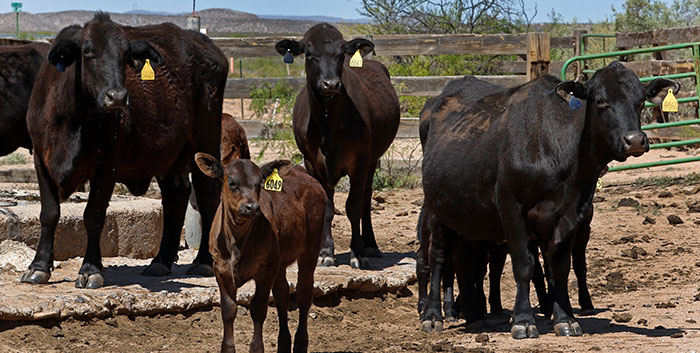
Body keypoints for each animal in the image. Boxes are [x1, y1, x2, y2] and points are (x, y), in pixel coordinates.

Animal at [21, 14, 227, 288]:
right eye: (88, 51)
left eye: (126, 55)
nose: (117, 97)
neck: (72, 121)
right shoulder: (41, 160)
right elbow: (49, 213)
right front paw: (39, 267)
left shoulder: (108, 165)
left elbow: (94, 215)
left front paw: (90, 269)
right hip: (169, 155)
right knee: (176, 196)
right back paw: (160, 261)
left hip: (205, 141)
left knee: (207, 194)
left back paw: (203, 260)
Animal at [194, 153, 326, 352]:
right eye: (232, 182)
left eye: (258, 184)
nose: (252, 207)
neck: (237, 241)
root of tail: (301, 172)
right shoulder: (220, 268)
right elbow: (228, 309)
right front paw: (227, 348)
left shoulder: (266, 268)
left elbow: (258, 308)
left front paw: (256, 348)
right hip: (280, 260)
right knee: (282, 293)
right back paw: (283, 343)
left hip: (311, 247)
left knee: (304, 291)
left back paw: (300, 343)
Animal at [276, 23, 402, 268]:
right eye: (309, 53)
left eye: (342, 53)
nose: (331, 83)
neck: (327, 124)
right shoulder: (312, 162)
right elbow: (327, 207)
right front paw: (325, 253)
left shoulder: (360, 161)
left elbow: (353, 206)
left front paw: (357, 253)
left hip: (373, 159)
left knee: (365, 197)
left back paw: (370, 244)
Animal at [418, 63, 676, 338]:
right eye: (600, 101)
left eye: (641, 101)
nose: (634, 140)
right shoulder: (511, 207)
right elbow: (525, 265)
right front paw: (523, 320)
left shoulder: (572, 214)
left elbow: (559, 269)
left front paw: (565, 319)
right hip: (436, 212)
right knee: (438, 259)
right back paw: (433, 316)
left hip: (469, 218)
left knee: (465, 263)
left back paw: (475, 318)